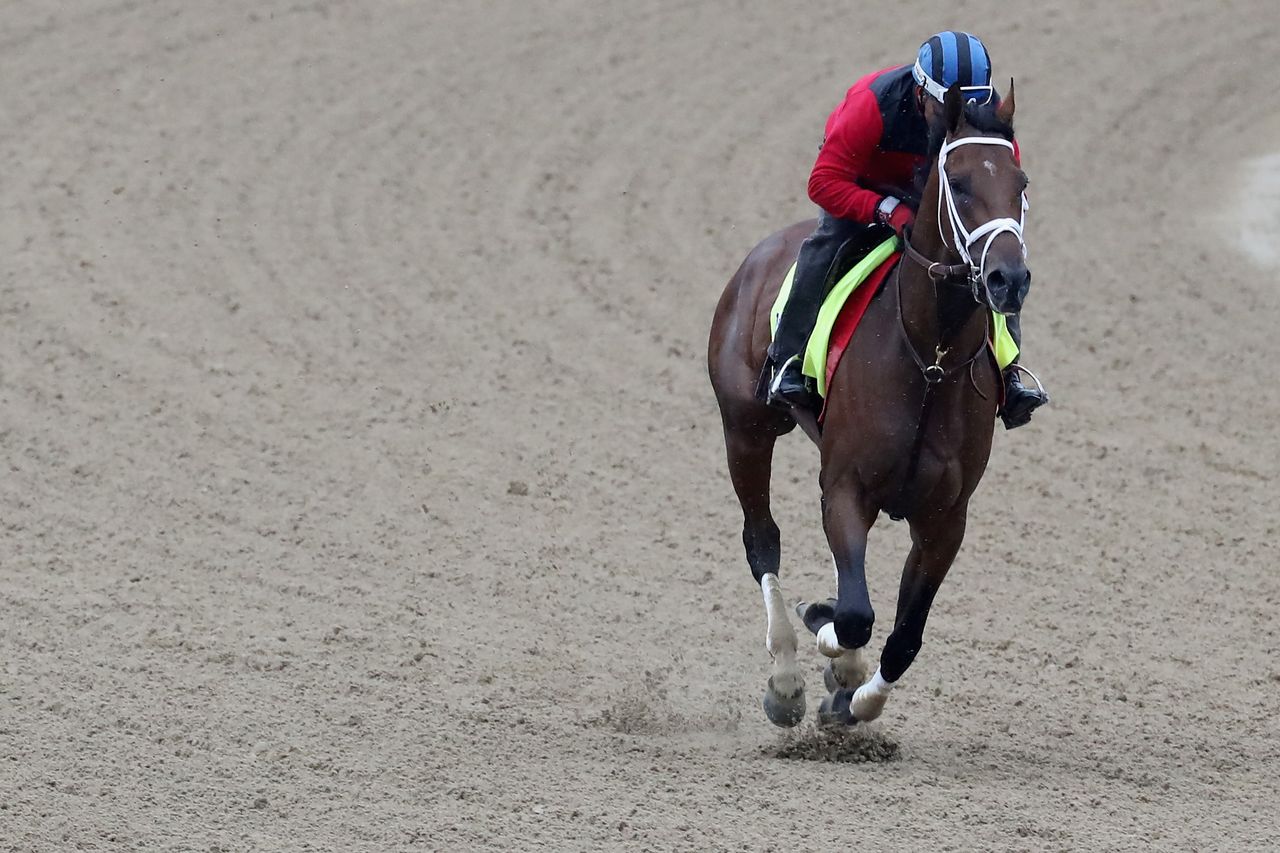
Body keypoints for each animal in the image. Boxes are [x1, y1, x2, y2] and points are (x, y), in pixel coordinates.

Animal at [706, 84, 1034, 722]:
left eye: (1021, 182)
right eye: (958, 183)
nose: (1008, 279)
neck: (929, 359)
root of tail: (760, 254)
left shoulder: (945, 517)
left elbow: (903, 635)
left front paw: (853, 700)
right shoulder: (844, 487)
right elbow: (856, 615)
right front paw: (826, 642)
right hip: (746, 428)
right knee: (762, 541)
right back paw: (786, 679)